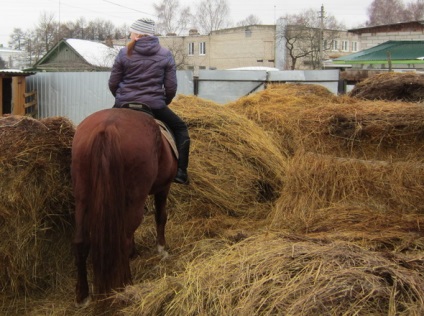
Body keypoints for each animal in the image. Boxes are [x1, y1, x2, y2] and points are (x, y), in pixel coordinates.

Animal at [71, 108, 177, 306]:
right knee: (123, 238)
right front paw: (162, 249)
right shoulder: (163, 187)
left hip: (82, 199)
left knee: (81, 241)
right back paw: (126, 285)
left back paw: (83, 296)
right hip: (135, 198)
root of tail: (108, 128)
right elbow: (161, 215)